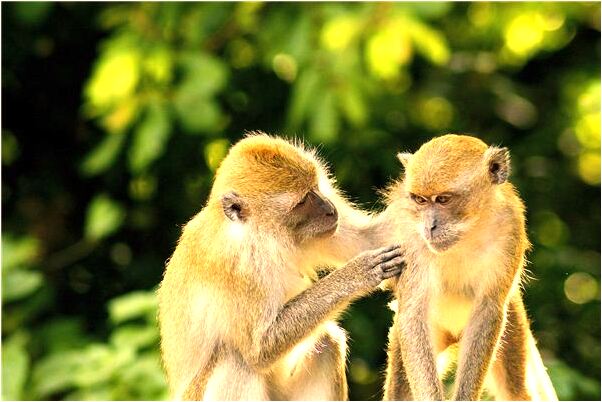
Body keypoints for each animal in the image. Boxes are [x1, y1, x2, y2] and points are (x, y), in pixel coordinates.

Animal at [156, 133, 404, 400]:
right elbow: (259, 349)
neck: (260, 236)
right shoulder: (236, 265)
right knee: (237, 360)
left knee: (326, 342)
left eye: (315, 188)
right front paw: (359, 272)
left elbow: (369, 238)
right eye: (303, 201)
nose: (330, 209)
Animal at [378, 134, 556, 398]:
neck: (469, 230)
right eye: (420, 200)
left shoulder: (510, 228)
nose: (429, 227)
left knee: (516, 388)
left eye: (443, 199)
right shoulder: (411, 237)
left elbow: (488, 310)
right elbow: (413, 311)